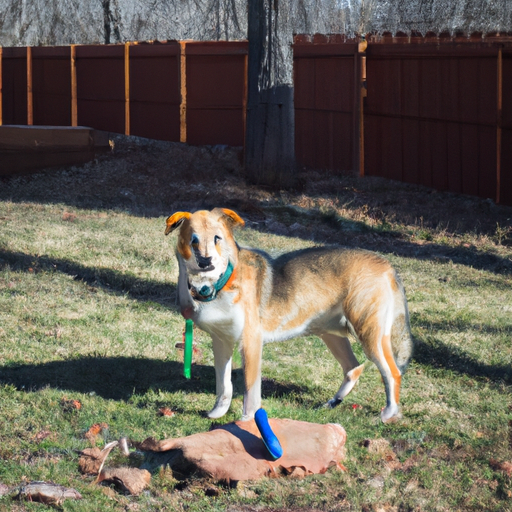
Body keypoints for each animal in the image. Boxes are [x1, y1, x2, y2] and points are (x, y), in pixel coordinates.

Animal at [166, 206, 414, 422]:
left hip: (370, 335)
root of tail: (387, 265)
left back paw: (388, 414)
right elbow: (223, 384)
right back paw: (332, 402)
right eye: (193, 240)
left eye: (217, 238)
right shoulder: (221, 342)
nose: (205, 261)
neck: (221, 282)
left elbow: (250, 389)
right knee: (353, 367)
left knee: (392, 373)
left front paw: (246, 420)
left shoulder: (250, 343)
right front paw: (218, 412)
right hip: (332, 335)